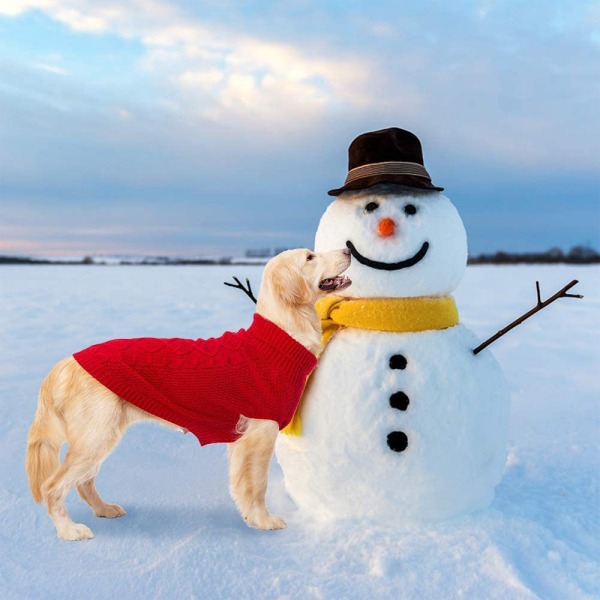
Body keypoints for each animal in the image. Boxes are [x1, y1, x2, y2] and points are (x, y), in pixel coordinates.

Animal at [25, 247, 352, 540]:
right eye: (310, 257)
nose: (348, 250)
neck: (281, 336)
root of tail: (66, 362)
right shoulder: (258, 434)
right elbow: (256, 485)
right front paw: (263, 521)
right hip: (95, 437)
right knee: (53, 486)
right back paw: (69, 530)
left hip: (100, 436)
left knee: (84, 482)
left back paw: (104, 509)